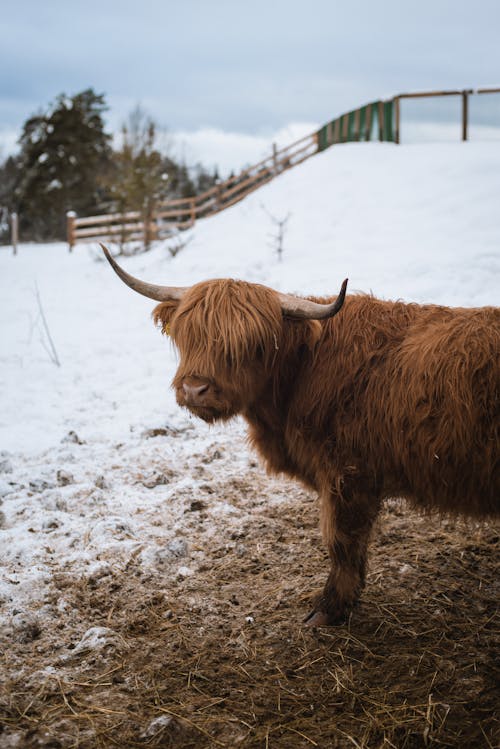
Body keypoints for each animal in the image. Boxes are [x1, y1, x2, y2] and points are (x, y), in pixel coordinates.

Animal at [101, 245, 500, 624]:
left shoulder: (348, 475)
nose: (195, 389)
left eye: (250, 345)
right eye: (189, 335)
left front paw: (328, 609)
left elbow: (342, 543)